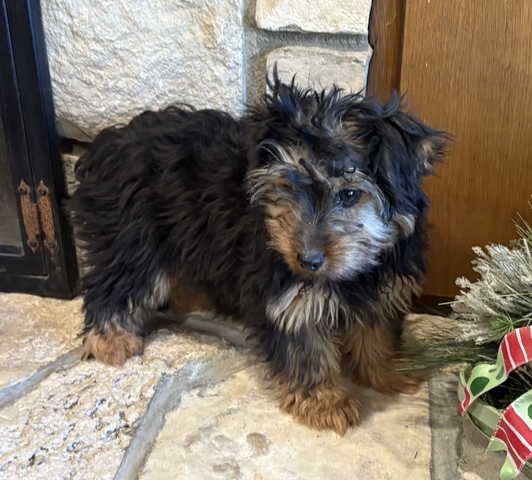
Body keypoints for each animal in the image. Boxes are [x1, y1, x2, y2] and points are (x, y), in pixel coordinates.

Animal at [68, 71, 446, 435]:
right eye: (286, 188)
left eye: (350, 194)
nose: (307, 260)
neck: (353, 273)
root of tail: (109, 143)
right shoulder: (288, 295)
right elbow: (304, 346)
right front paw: (324, 402)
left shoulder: (382, 287)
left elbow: (377, 332)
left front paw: (390, 373)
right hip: (133, 237)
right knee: (118, 284)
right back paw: (111, 341)